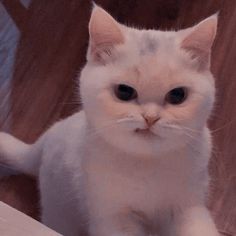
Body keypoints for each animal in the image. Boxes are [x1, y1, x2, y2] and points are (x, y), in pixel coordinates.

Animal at [0, 5, 220, 236]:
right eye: (124, 92)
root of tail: (44, 142)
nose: (150, 117)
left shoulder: (189, 207)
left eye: (177, 95)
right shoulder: (112, 217)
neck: (146, 163)